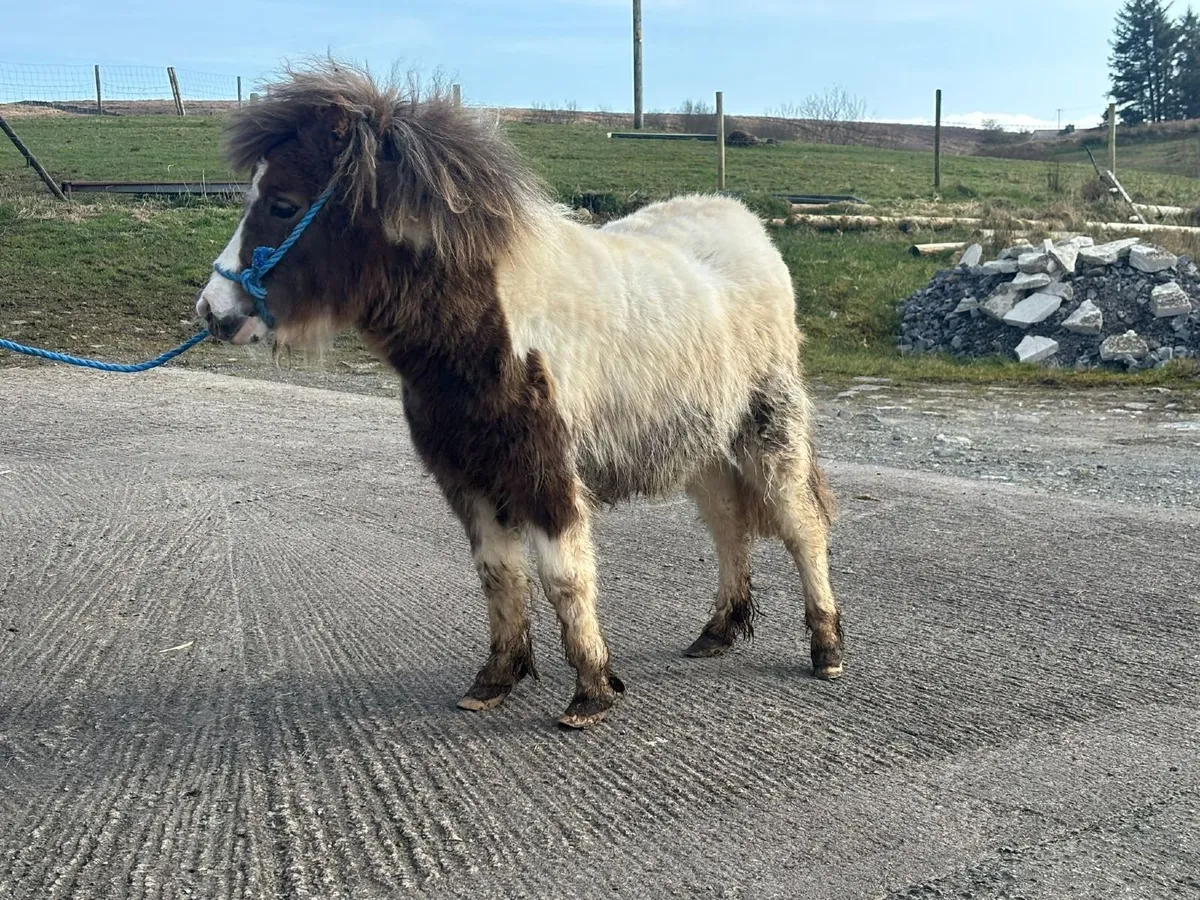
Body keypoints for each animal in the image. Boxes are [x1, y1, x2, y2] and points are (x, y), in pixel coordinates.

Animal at [195, 62, 845, 729]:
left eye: (284, 204)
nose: (214, 312)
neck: (485, 328)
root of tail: (749, 228)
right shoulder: (469, 478)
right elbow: (499, 574)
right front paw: (495, 680)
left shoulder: (545, 472)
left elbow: (565, 577)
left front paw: (591, 692)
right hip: (704, 446)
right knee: (728, 527)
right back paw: (716, 632)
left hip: (769, 431)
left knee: (801, 525)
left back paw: (826, 649)